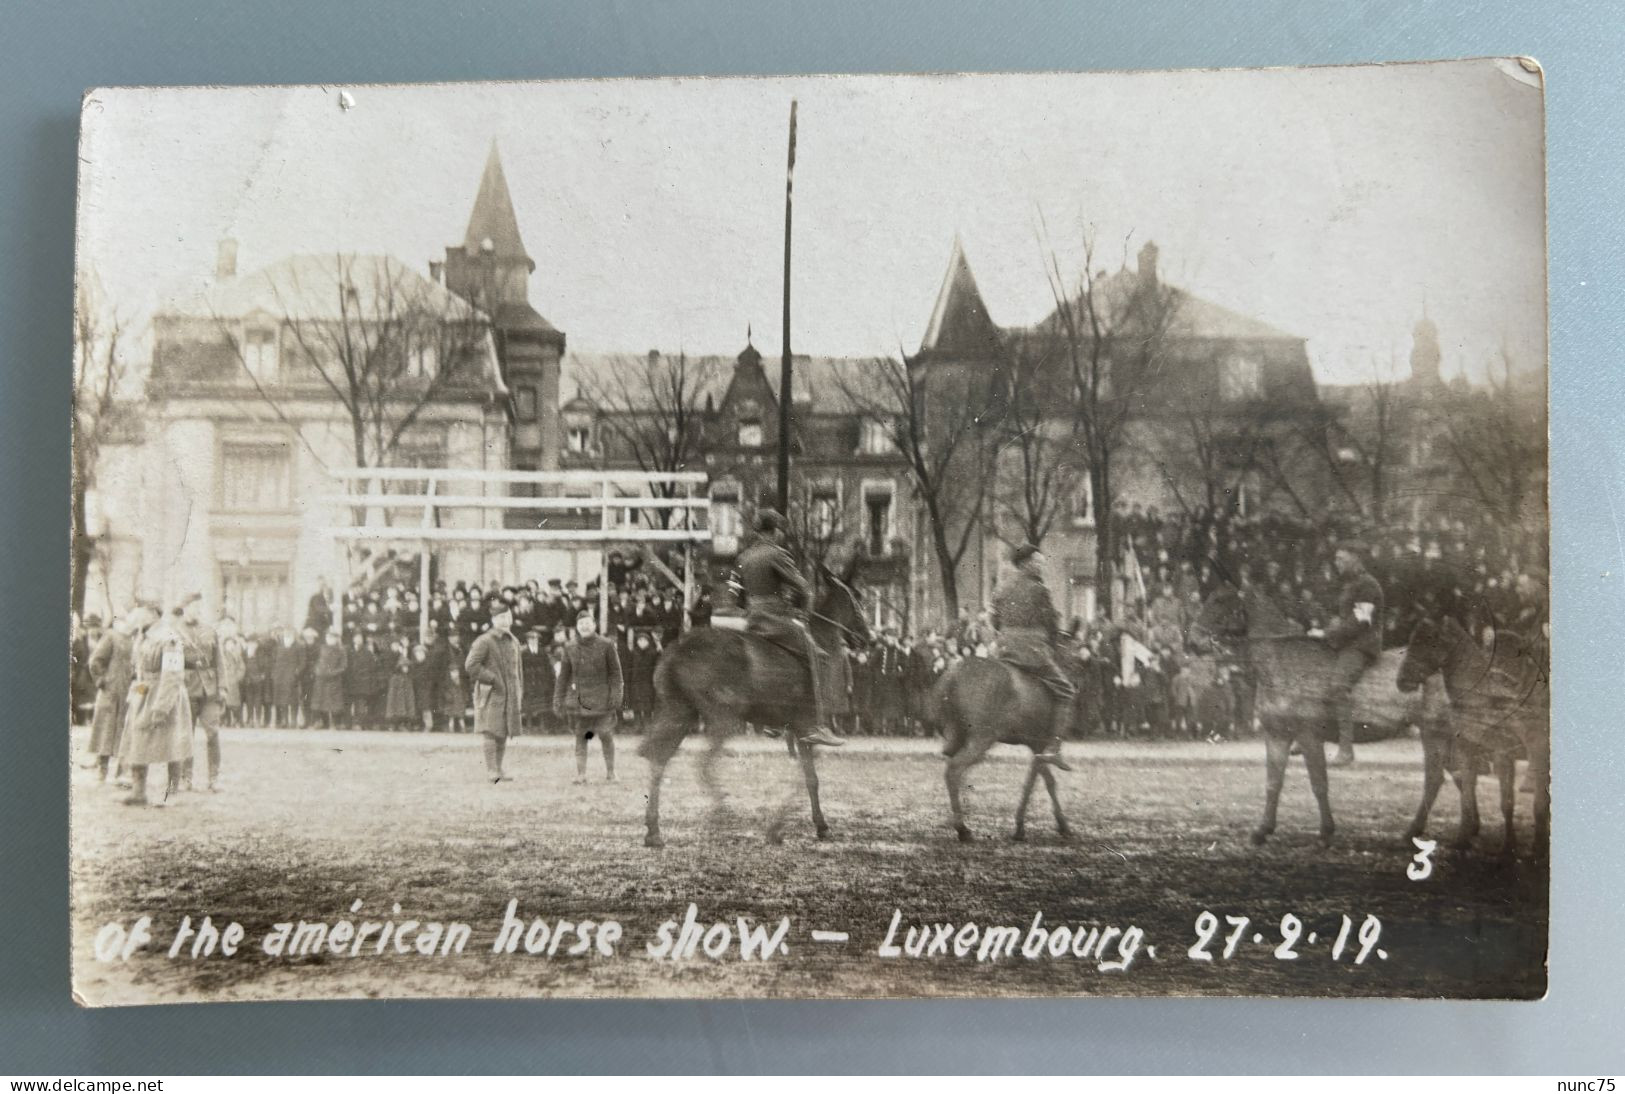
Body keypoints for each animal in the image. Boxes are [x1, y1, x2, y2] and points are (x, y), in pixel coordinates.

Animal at [633, 575, 871, 851]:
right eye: (855, 602)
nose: (866, 637)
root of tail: (677, 649)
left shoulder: (798, 730)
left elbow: (810, 778)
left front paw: (818, 826)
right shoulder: (807, 728)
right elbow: (807, 779)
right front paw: (778, 829)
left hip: (679, 713)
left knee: (659, 759)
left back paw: (653, 832)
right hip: (723, 719)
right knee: (703, 766)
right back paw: (727, 814)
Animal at [929, 653, 1079, 838]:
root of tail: (953, 676)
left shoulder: (1036, 745)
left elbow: (1043, 779)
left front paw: (1022, 827)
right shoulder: (1041, 743)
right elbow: (1035, 782)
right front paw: (1057, 825)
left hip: (958, 738)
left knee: (956, 771)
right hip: (982, 739)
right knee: (954, 770)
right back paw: (962, 829)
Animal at [1189, 585, 1417, 851]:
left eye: (1220, 601)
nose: (1193, 640)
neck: (1283, 664)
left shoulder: (1309, 737)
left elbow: (1319, 784)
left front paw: (1326, 832)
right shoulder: (1276, 735)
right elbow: (1273, 783)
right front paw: (1262, 830)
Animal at [1397, 614, 1547, 851]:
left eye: (1430, 641)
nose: (1402, 680)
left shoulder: (1503, 753)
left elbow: (1507, 802)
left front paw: (1508, 846)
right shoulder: (1467, 749)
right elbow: (1466, 795)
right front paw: (1462, 840)